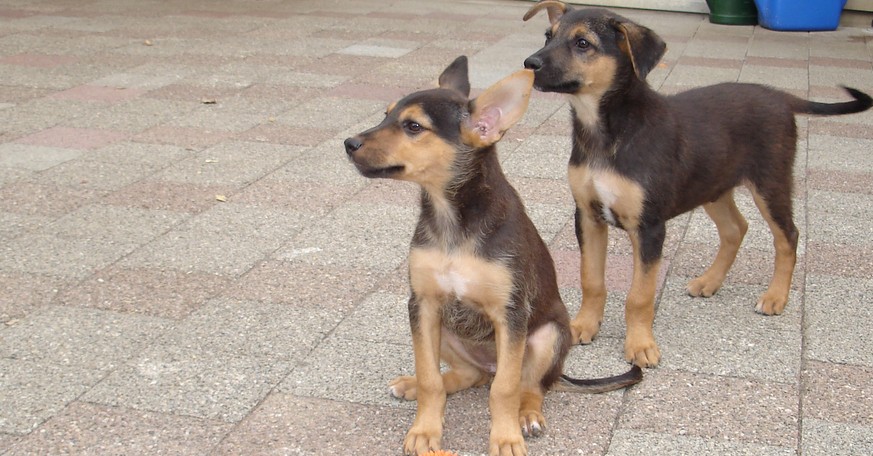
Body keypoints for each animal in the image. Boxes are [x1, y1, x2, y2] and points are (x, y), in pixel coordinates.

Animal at [342, 58, 640, 456]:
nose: (349, 143)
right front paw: (425, 430)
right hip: (445, 329)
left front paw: (506, 437)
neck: (452, 221)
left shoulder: (510, 314)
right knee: (471, 375)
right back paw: (412, 384)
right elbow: (429, 377)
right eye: (385, 114)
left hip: (546, 336)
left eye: (413, 126)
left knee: (530, 384)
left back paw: (528, 415)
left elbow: (505, 390)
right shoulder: (423, 304)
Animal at [520, 1, 868, 368]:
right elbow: (591, 279)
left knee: (788, 236)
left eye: (583, 43)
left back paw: (775, 297)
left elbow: (639, 295)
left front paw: (640, 344)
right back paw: (709, 282)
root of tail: (779, 96)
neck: (605, 132)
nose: (529, 64)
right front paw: (583, 326)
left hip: (770, 183)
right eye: (548, 36)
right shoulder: (587, 216)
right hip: (712, 185)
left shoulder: (649, 227)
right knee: (736, 229)